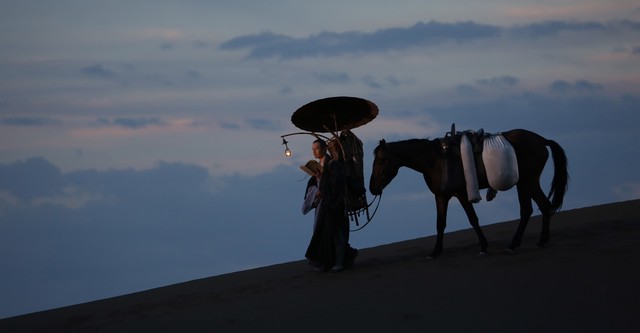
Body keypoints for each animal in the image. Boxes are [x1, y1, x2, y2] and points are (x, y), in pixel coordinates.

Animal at [370, 127, 568, 256]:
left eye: (380, 160)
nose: (372, 188)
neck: (436, 160)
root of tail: (541, 140)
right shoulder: (441, 196)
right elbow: (440, 223)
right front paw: (435, 251)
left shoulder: (462, 194)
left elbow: (473, 219)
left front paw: (483, 247)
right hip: (523, 183)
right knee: (531, 209)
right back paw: (521, 243)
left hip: (529, 181)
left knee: (541, 206)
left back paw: (534, 242)